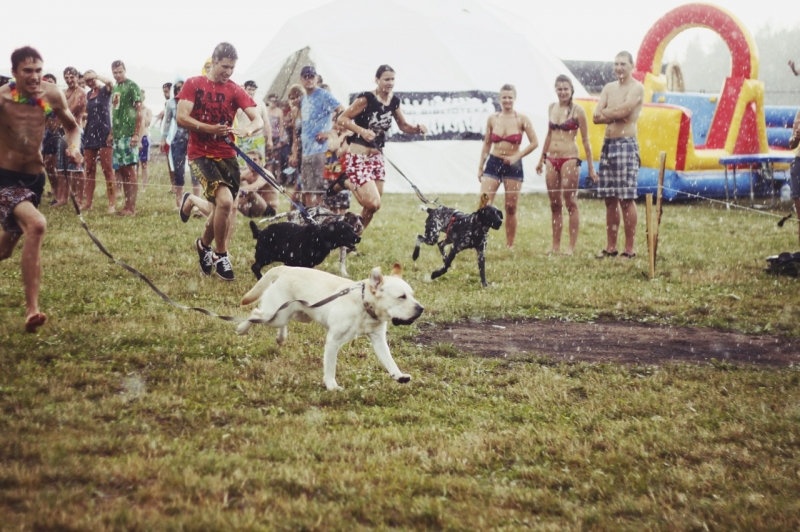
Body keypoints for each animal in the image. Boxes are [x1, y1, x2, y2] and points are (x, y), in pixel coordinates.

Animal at [236, 264, 424, 388]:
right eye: (401, 297)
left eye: (412, 295)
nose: (421, 308)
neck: (363, 306)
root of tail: (286, 268)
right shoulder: (333, 341)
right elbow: (330, 366)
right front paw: (332, 386)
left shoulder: (378, 339)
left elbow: (390, 361)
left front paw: (399, 375)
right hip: (273, 315)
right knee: (255, 313)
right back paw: (242, 328)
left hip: (297, 314)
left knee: (281, 322)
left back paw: (281, 338)